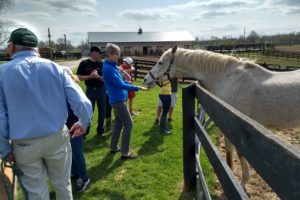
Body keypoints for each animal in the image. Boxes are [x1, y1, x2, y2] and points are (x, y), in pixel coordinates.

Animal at [142, 45, 300, 191]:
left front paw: (240, 182)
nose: (145, 79)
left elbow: (236, 152)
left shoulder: (235, 126)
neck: (227, 78)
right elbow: (232, 150)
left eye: (161, 62)